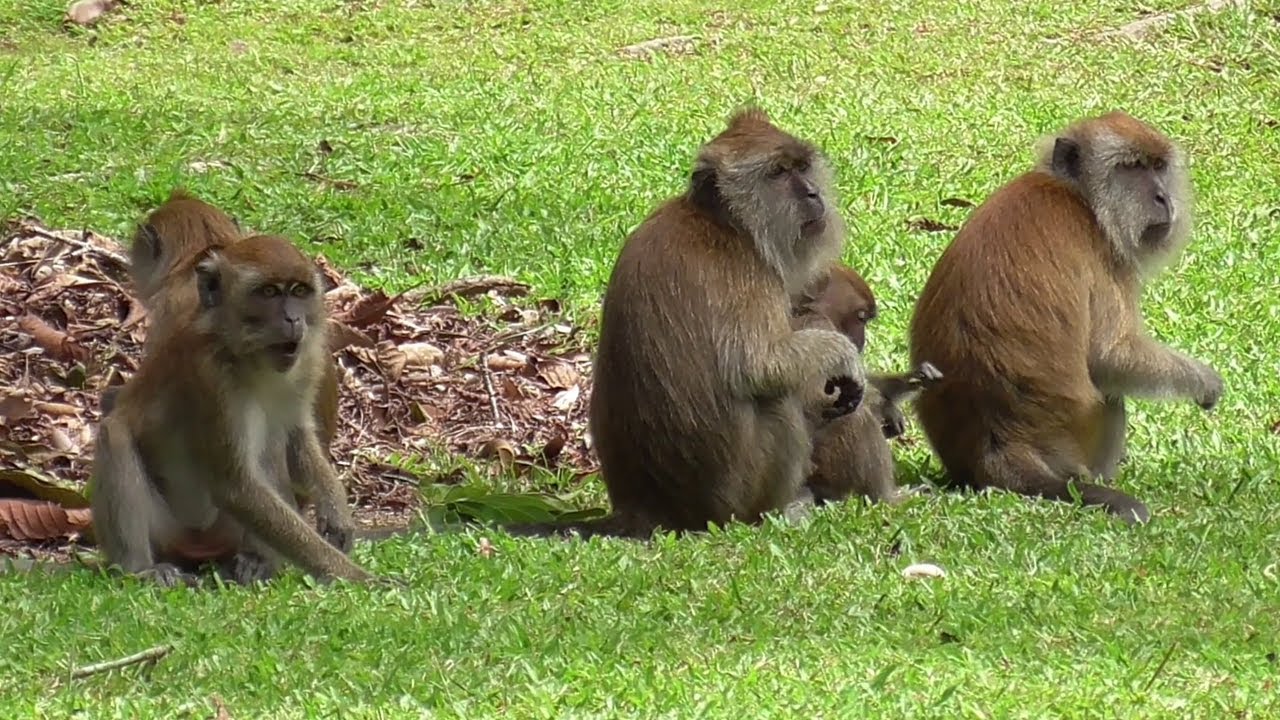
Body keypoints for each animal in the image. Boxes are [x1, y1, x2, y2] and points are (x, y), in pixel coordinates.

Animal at [90, 234, 373, 586]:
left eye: (299, 291)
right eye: (268, 292)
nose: (294, 319)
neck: (248, 358)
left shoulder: (309, 359)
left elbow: (297, 435)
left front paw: (336, 510)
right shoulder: (210, 377)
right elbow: (236, 486)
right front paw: (353, 575)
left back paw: (258, 560)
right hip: (169, 531)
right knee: (114, 434)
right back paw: (140, 568)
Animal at [507, 108, 866, 540]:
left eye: (802, 166)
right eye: (778, 173)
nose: (813, 193)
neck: (723, 222)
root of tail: (648, 510)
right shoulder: (746, 273)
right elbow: (759, 366)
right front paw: (842, 356)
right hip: (736, 494)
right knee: (777, 399)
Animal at [790, 263, 942, 506]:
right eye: (861, 317)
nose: (861, 341)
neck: (807, 310)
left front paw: (913, 380)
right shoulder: (820, 327)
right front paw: (886, 408)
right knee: (854, 418)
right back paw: (888, 498)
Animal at [907, 111, 1222, 524]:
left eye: (1157, 166)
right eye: (1131, 167)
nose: (1162, 197)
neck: (1078, 197)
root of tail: (997, 443)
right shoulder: (1102, 254)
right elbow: (1109, 356)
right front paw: (1206, 382)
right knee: (1111, 393)